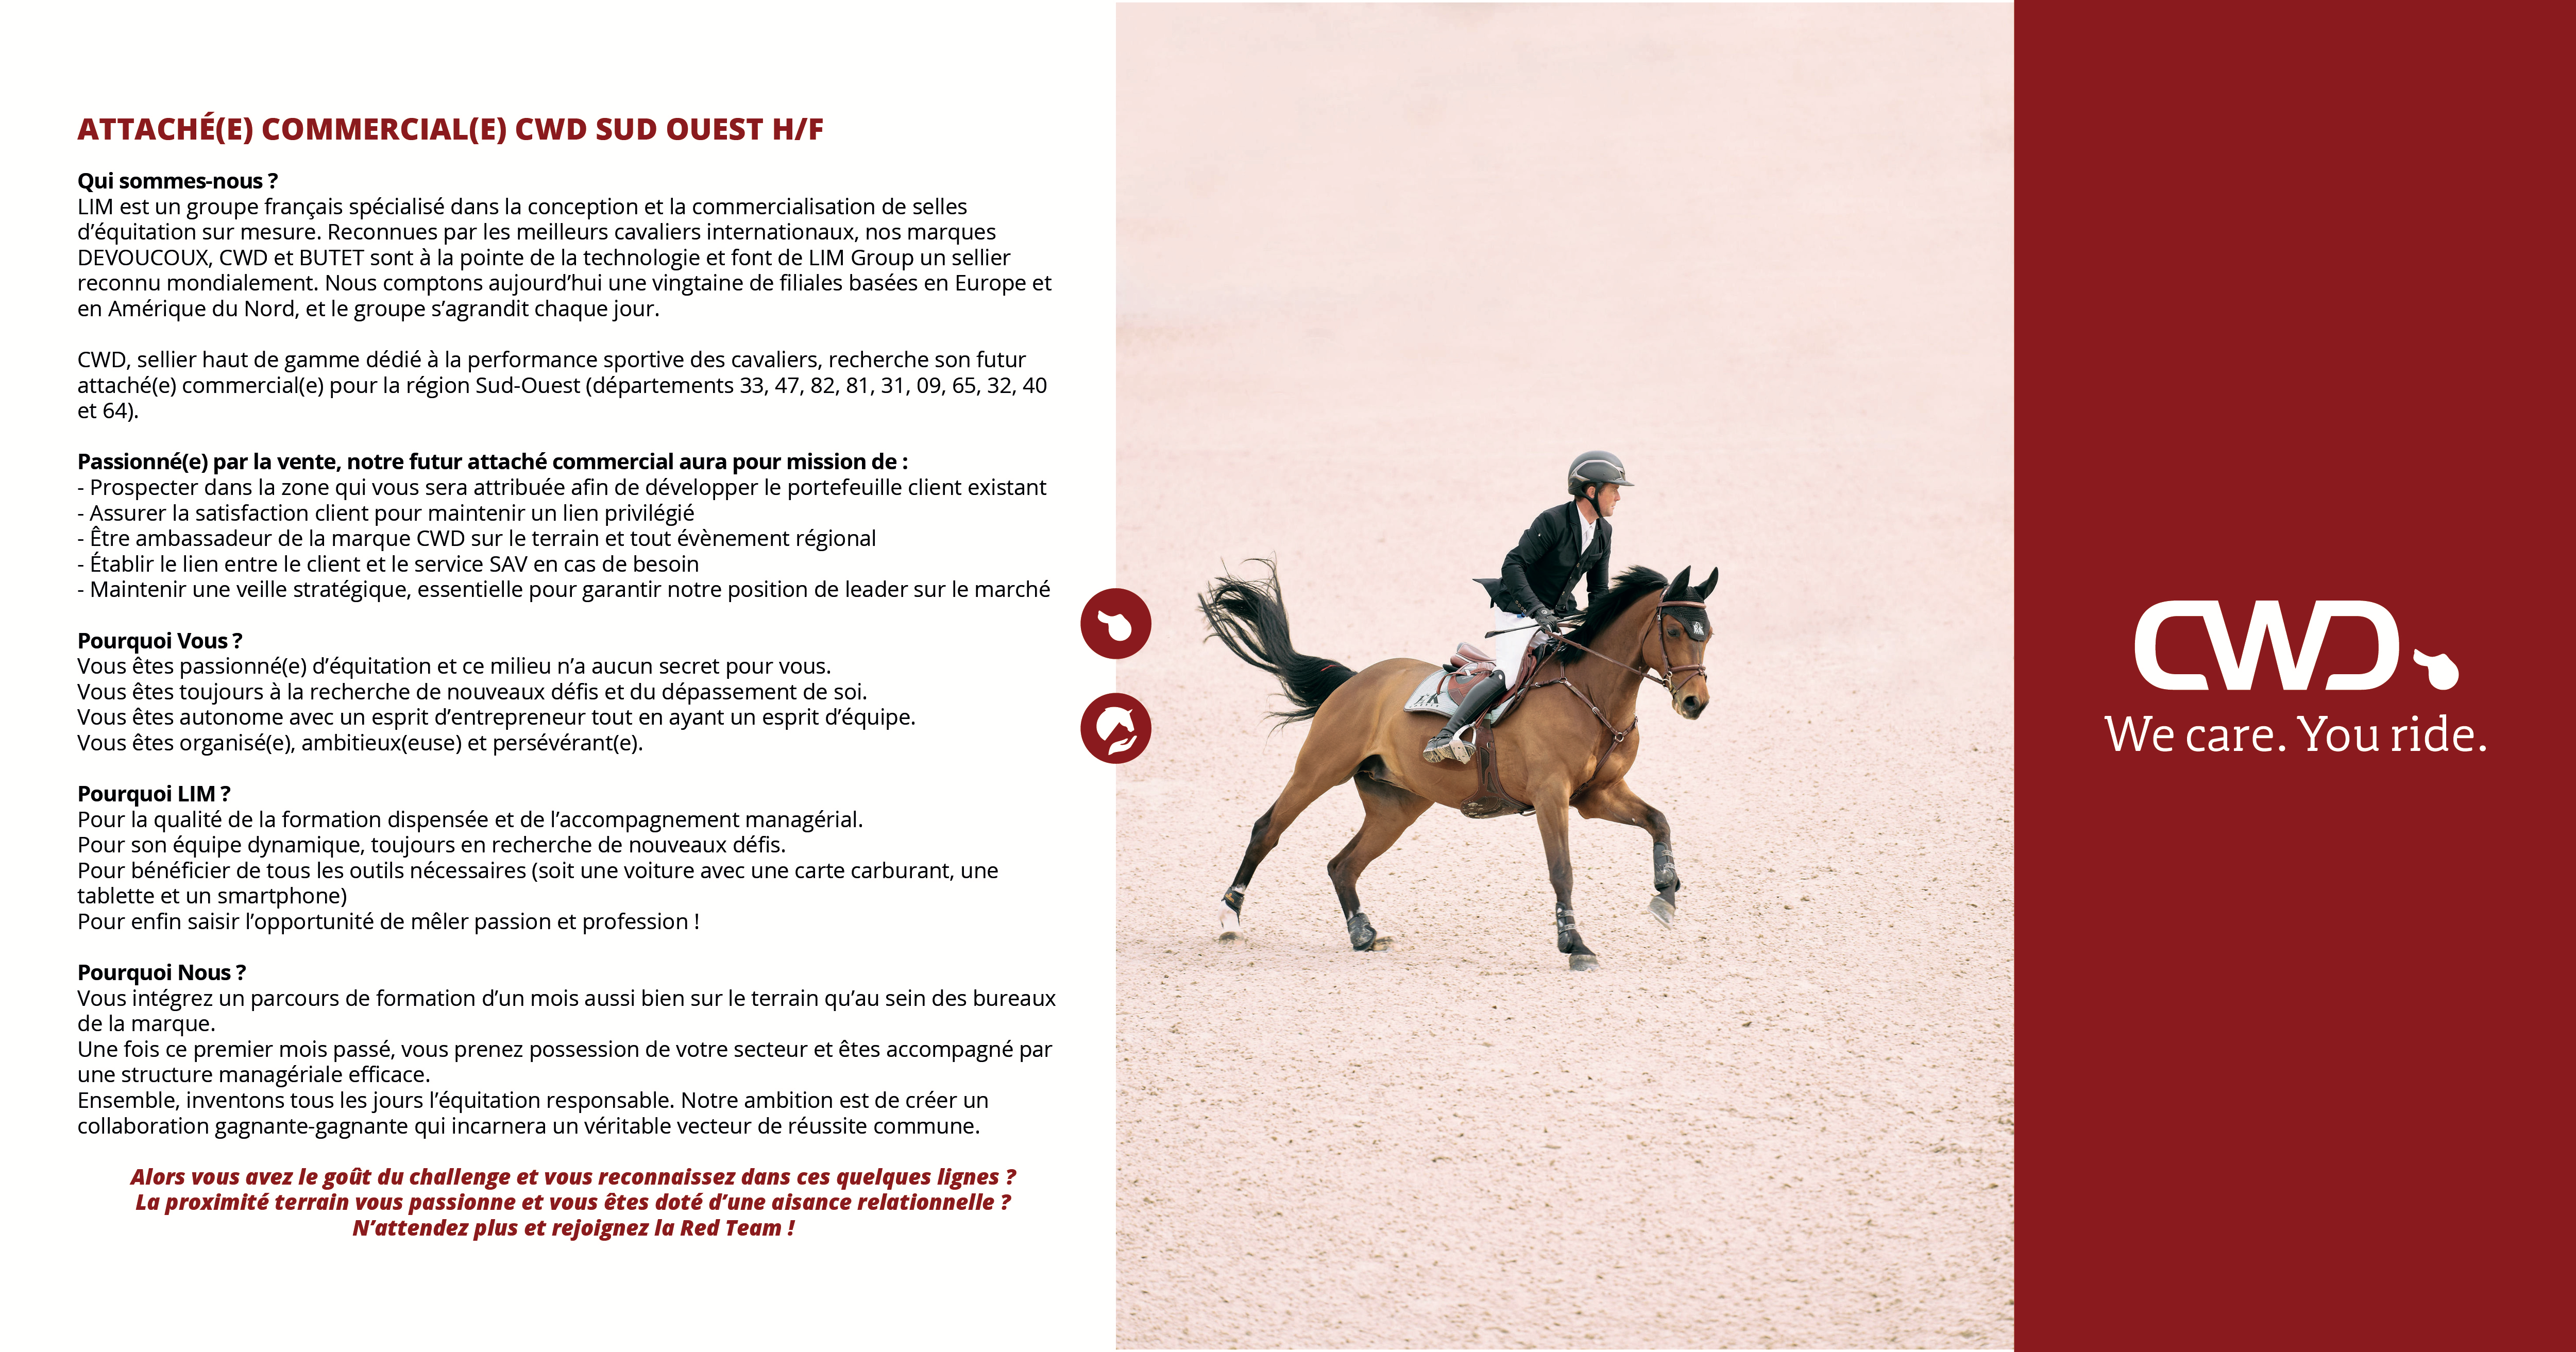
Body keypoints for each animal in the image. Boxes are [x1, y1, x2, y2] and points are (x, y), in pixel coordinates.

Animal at [1197, 561, 1717, 970]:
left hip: (1396, 807)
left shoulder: (1596, 795)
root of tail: (1356, 679)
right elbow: (1562, 868)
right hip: (1318, 771)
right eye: (1674, 631)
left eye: (1707, 635)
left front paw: (1665, 893)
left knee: (1342, 865)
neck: (1591, 695)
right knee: (1267, 830)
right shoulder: (1552, 796)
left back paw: (1364, 934)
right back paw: (1229, 918)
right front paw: (1575, 944)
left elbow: (1659, 821)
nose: (1695, 703)